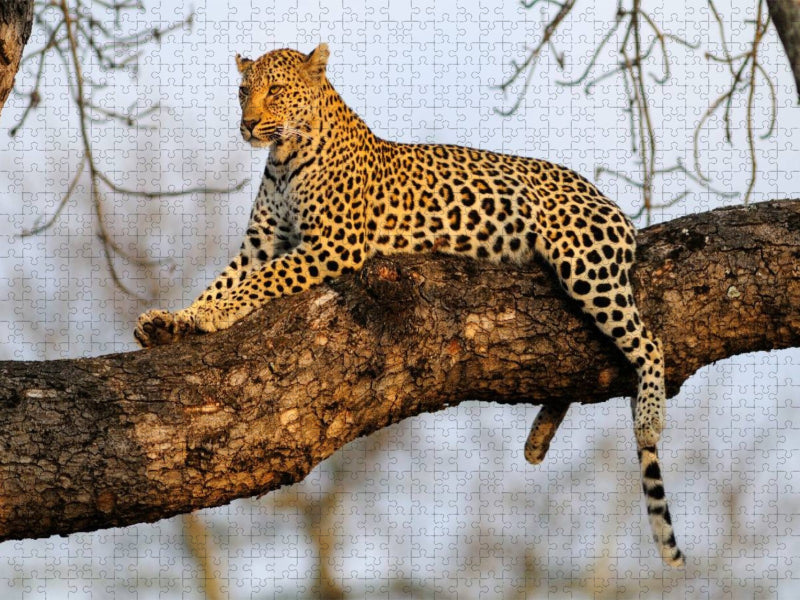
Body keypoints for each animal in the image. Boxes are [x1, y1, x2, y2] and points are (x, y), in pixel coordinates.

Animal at [134, 43, 684, 567]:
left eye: (276, 91)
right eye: (243, 91)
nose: (248, 124)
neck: (285, 157)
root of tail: (615, 206)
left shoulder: (332, 245)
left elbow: (260, 281)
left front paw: (212, 315)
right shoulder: (259, 243)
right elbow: (219, 281)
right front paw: (174, 321)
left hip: (584, 263)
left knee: (649, 342)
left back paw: (649, 417)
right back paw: (540, 439)